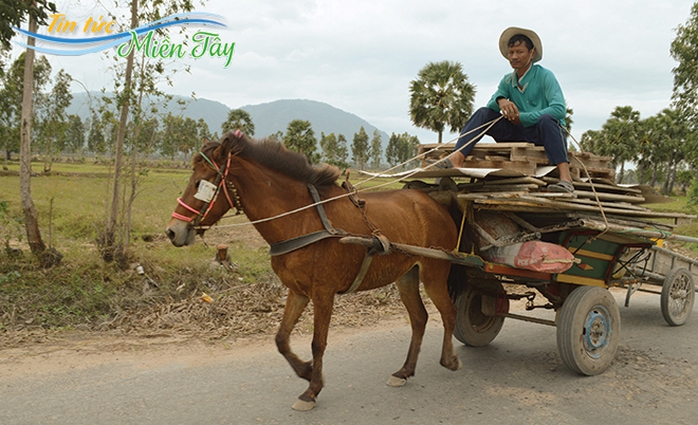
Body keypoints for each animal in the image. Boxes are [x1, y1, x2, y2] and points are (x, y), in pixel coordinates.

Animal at [165, 131, 460, 410]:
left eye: (200, 182)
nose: (172, 231)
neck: (302, 219)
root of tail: (435, 203)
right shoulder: (297, 291)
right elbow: (281, 339)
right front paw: (306, 371)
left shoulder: (323, 293)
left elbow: (318, 342)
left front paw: (311, 391)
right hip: (407, 275)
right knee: (420, 318)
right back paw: (405, 370)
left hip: (435, 272)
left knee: (448, 312)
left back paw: (449, 359)